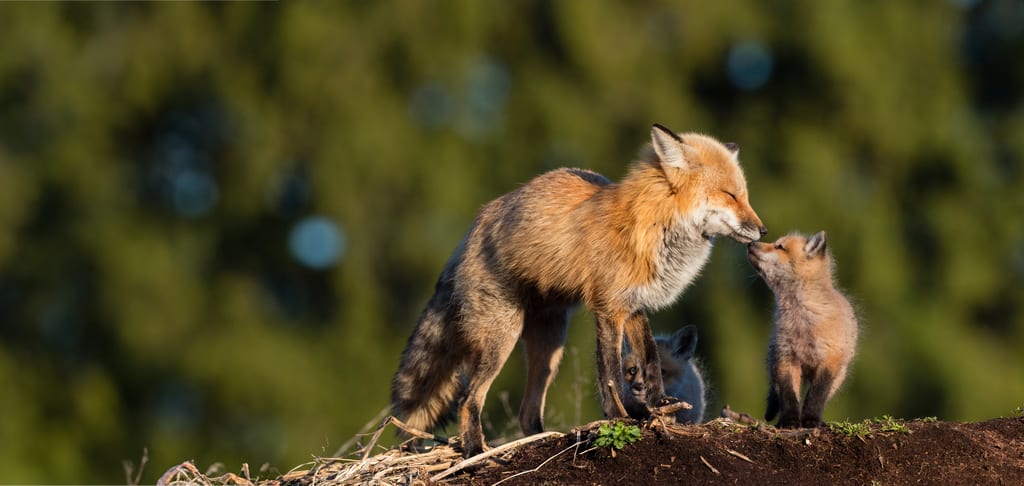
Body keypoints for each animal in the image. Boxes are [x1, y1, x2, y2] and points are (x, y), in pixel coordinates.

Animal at [391, 124, 766, 457]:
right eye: (731, 195)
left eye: (745, 195)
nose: (762, 231)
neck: (651, 226)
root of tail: (473, 228)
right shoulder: (608, 308)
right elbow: (610, 372)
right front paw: (618, 417)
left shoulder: (634, 306)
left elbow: (650, 357)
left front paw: (658, 403)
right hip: (502, 338)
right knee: (469, 400)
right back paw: (474, 452)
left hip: (549, 348)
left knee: (527, 413)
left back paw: (539, 442)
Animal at [746, 231, 858, 428]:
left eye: (779, 247)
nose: (750, 243)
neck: (803, 322)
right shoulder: (785, 358)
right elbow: (788, 395)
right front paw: (790, 420)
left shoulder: (829, 360)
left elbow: (816, 395)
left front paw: (811, 419)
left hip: (838, 376)